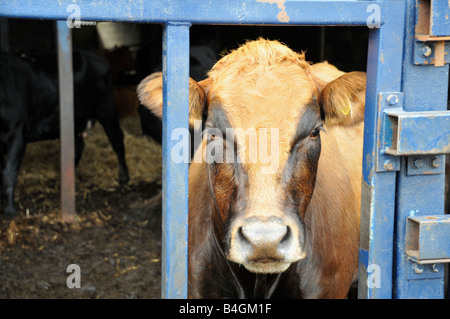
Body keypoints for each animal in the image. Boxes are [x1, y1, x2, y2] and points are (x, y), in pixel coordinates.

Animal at [0, 51, 128, 216]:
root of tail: (96, 56)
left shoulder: (18, 133)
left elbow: (9, 172)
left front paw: (9, 210)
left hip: (106, 107)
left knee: (117, 140)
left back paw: (124, 177)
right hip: (76, 120)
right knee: (78, 146)